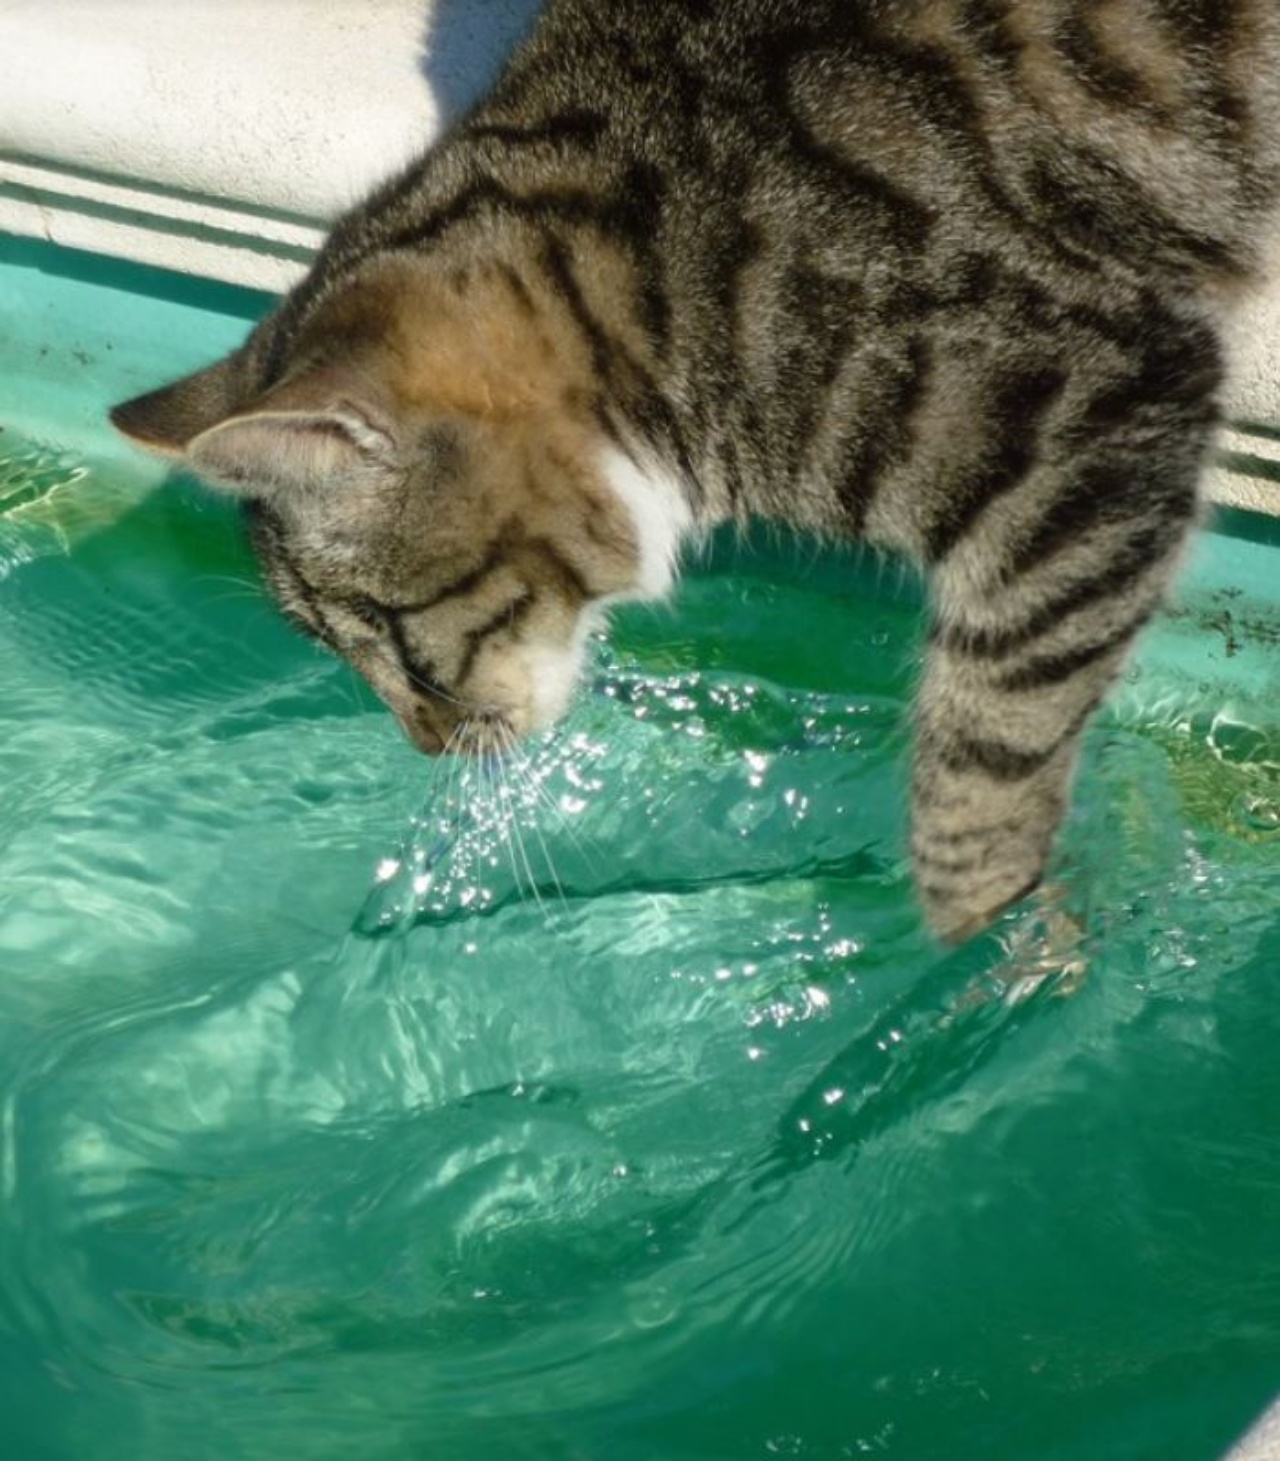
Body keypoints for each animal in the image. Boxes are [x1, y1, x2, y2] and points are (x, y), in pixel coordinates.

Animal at [110, 0, 1280, 940]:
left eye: (390, 642)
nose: (430, 751)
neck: (652, 278)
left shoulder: (1094, 398)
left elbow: (989, 745)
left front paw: (989, 945)